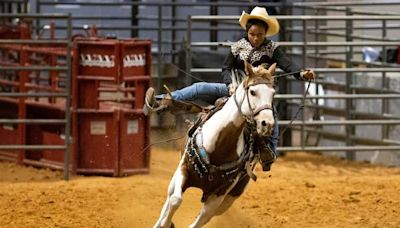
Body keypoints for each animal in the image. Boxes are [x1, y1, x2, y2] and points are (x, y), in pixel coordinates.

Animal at [155, 61, 276, 227]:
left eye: (273, 93)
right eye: (252, 92)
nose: (267, 123)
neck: (219, 146)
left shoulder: (219, 195)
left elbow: (201, 219)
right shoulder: (183, 169)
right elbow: (175, 199)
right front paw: (166, 224)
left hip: (231, 197)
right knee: (169, 199)